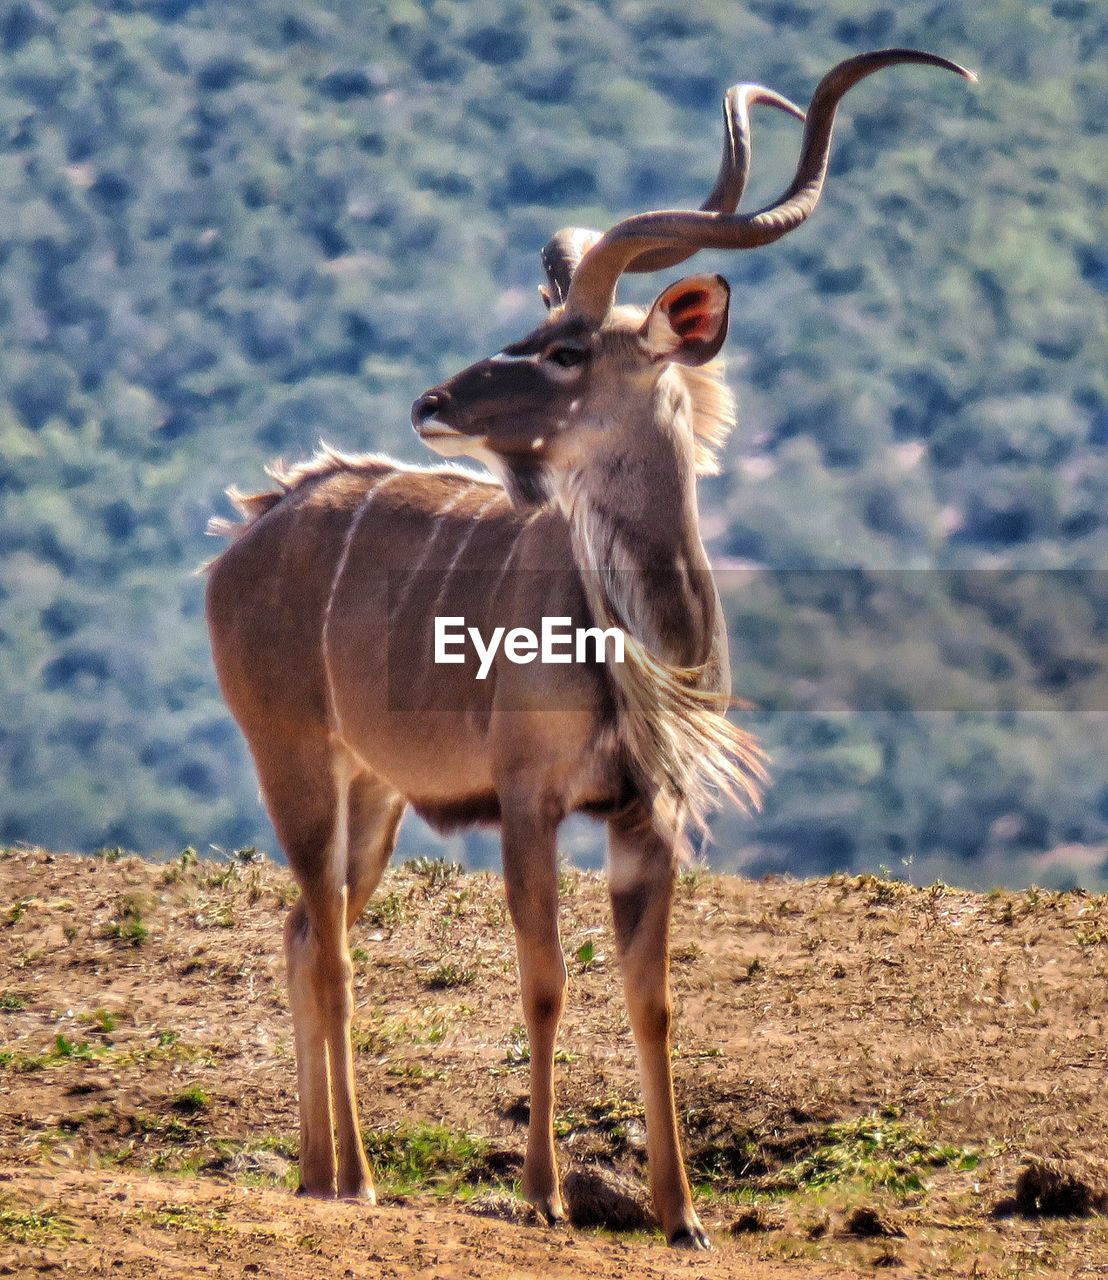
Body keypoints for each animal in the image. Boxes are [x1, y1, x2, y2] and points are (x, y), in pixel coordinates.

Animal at [204, 52, 967, 1249]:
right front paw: (543, 1192)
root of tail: (252, 525)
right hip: (293, 759)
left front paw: (681, 1213)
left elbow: (652, 997)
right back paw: (356, 1178)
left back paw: (318, 1173)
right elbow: (546, 979)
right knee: (329, 948)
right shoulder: (530, 797)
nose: (431, 400)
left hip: (372, 794)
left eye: (565, 349)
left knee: (298, 932)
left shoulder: (644, 812)